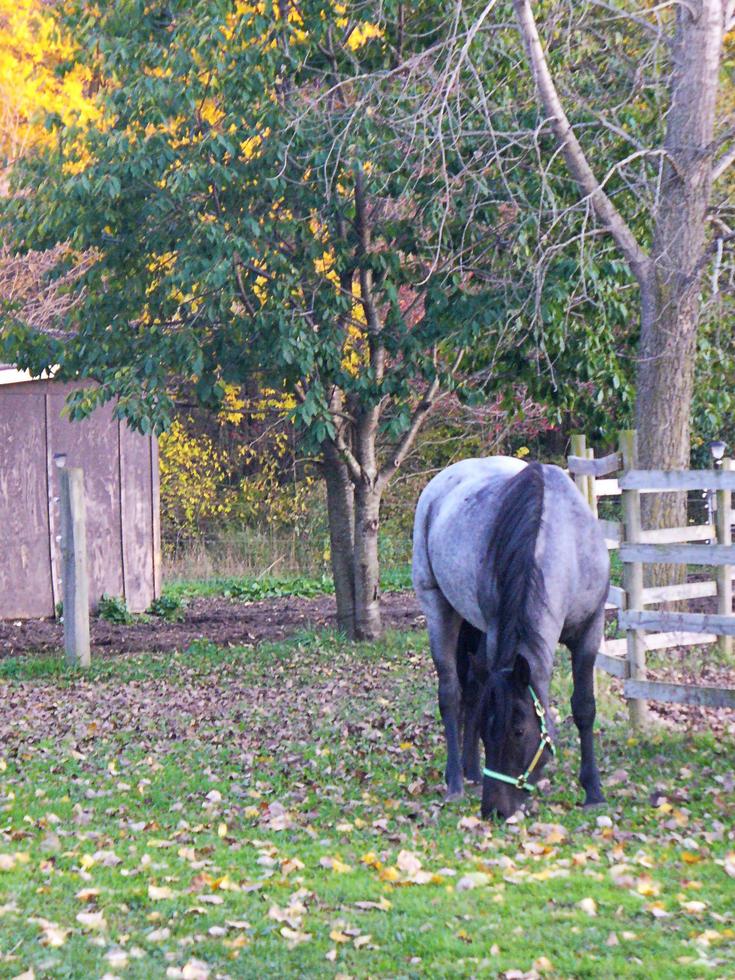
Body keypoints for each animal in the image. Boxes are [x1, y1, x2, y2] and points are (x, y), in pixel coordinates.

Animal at [414, 458, 608, 820]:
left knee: (472, 690)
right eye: (487, 731)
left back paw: (471, 772)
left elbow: (584, 707)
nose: (494, 810)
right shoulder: (496, 633)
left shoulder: (590, 632)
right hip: (438, 608)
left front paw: (594, 791)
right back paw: (455, 781)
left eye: (519, 731)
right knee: (451, 695)